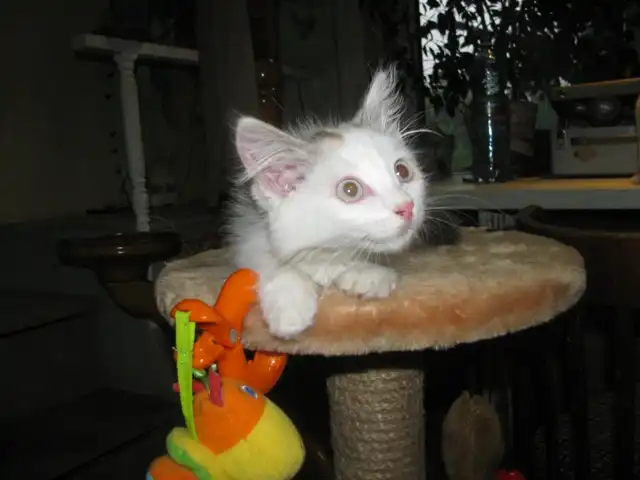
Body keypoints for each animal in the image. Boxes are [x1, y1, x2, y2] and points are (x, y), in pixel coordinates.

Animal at [226, 66, 430, 339]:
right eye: (350, 190)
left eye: (403, 171)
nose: (407, 207)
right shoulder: (248, 228)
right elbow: (266, 259)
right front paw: (290, 304)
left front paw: (364, 273)